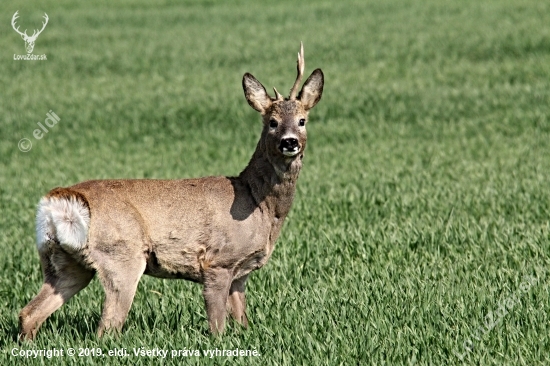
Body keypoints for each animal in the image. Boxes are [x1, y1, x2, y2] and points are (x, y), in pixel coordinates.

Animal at [20, 43, 324, 340]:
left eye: (302, 120)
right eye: (272, 122)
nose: (289, 142)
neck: (257, 204)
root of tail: (59, 201)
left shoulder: (241, 273)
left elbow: (242, 321)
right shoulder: (218, 262)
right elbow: (218, 326)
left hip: (64, 262)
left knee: (29, 313)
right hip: (121, 255)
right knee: (105, 328)